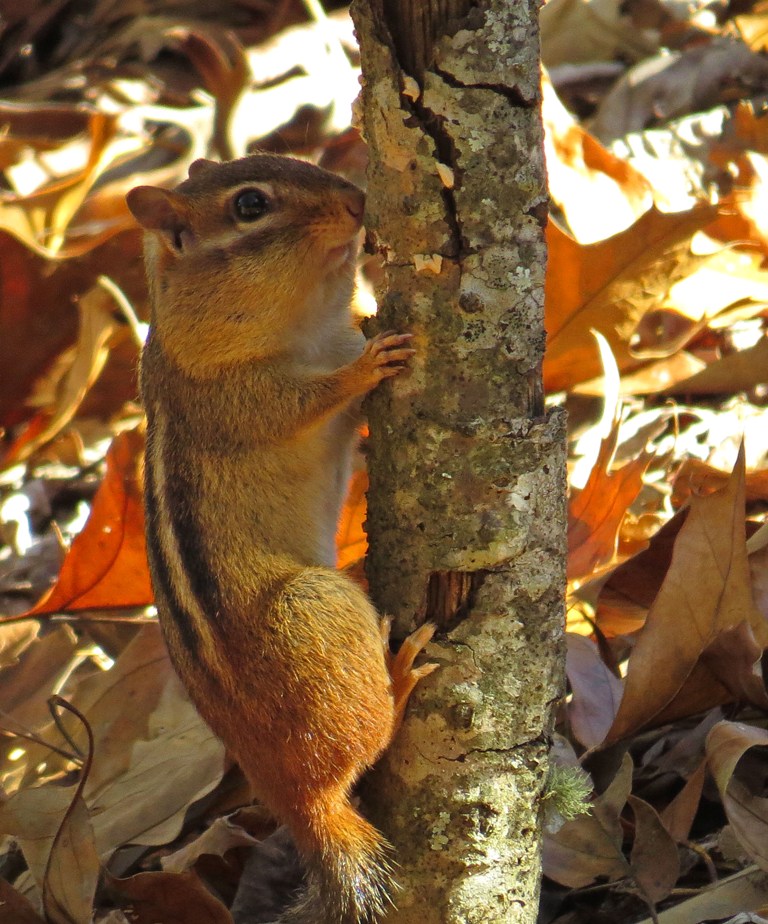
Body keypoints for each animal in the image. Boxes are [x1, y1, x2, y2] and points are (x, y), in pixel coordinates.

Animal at [126, 154, 436, 924]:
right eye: (250, 205)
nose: (358, 200)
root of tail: (298, 806)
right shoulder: (234, 396)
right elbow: (304, 400)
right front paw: (369, 363)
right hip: (318, 604)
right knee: (368, 744)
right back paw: (398, 675)